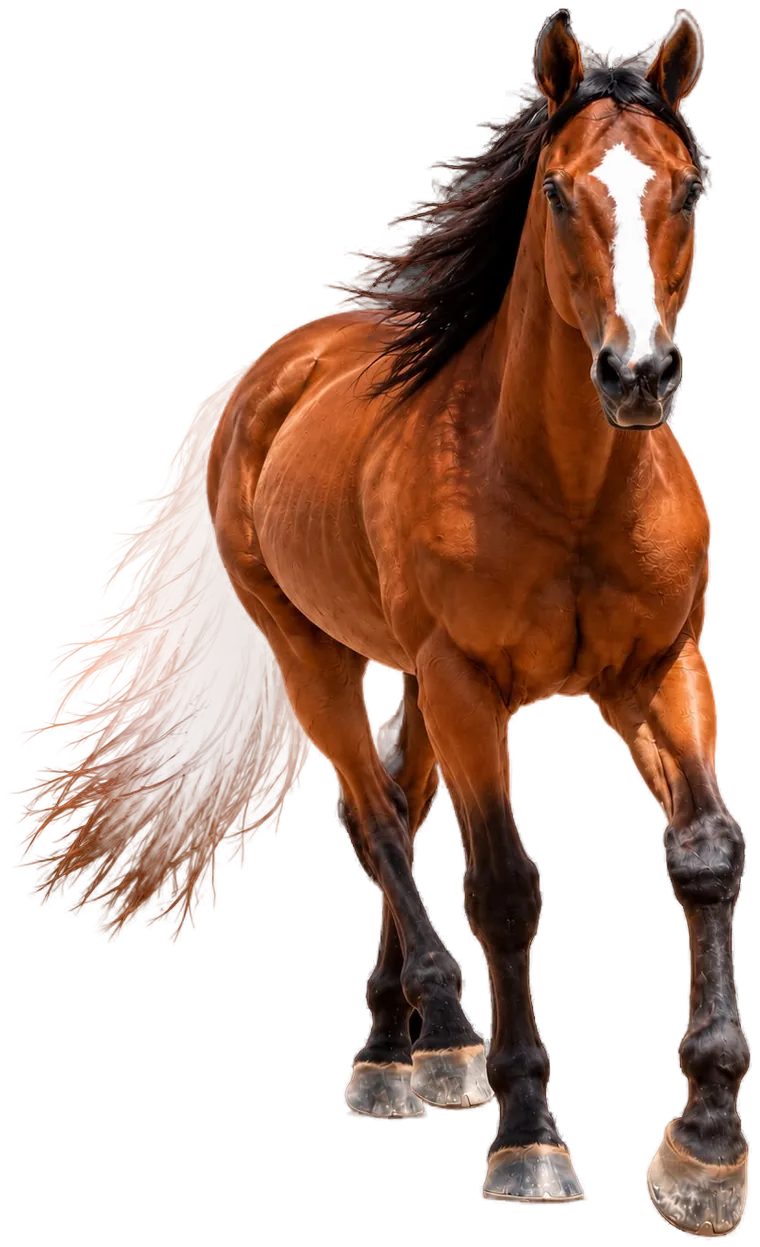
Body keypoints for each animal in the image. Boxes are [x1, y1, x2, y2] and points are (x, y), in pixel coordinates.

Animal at [8, 7, 748, 1235]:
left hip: (415, 682)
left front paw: (707, 1147)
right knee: (379, 820)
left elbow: (702, 856)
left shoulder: (660, 666)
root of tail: (274, 376)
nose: (639, 373)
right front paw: (529, 1138)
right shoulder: (466, 684)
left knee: (398, 800)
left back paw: (404, 1042)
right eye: (558, 191)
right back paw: (429, 1049)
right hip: (322, 661)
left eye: (687, 189)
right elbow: (503, 888)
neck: (567, 485)